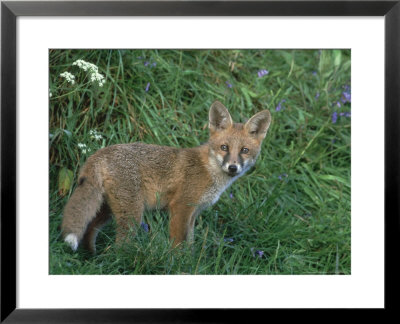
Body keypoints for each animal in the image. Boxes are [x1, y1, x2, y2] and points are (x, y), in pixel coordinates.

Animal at [61, 101, 272, 253]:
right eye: (224, 147)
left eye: (244, 150)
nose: (233, 167)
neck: (209, 172)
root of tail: (99, 153)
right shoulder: (181, 207)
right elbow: (178, 243)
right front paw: (177, 264)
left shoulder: (194, 213)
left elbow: (190, 243)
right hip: (132, 216)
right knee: (119, 245)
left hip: (107, 211)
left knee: (89, 230)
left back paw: (92, 257)